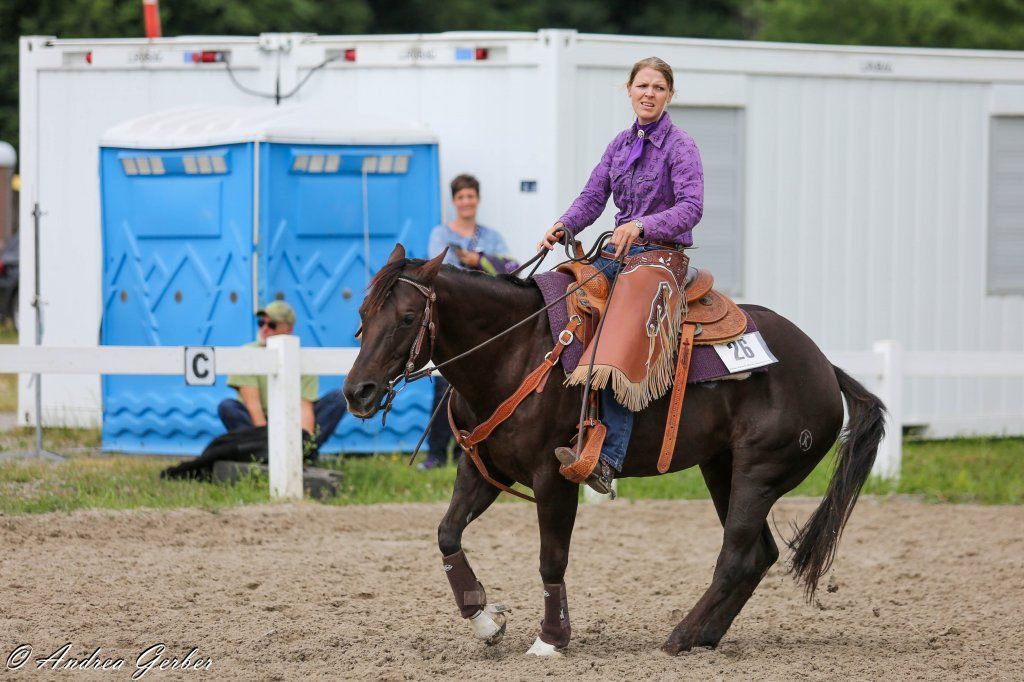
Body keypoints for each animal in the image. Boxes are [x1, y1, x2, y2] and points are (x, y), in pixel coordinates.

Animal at [343, 244, 886, 656]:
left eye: (407, 317)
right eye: (363, 314)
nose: (357, 392)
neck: (513, 351)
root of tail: (824, 366)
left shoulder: (553, 479)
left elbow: (551, 560)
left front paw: (551, 639)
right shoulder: (481, 470)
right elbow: (447, 535)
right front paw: (487, 621)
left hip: (759, 471)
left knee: (735, 555)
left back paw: (680, 637)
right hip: (722, 469)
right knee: (759, 554)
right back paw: (706, 636)